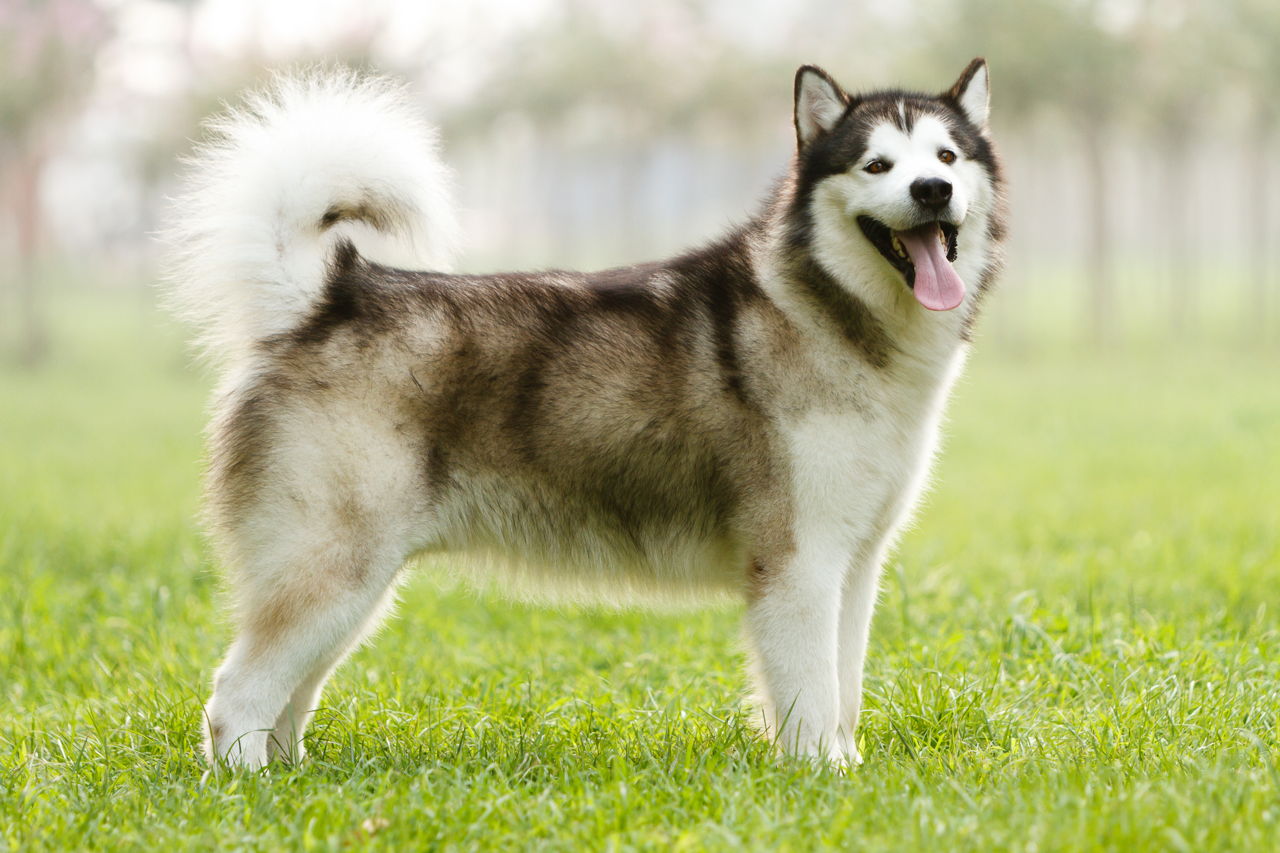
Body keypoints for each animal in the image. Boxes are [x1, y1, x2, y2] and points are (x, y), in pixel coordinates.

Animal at [162, 58, 998, 763]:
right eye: (877, 165)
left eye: (947, 158)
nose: (931, 192)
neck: (837, 316)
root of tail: (327, 295)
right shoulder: (798, 561)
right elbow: (812, 696)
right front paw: (824, 779)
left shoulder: (854, 562)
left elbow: (843, 689)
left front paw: (848, 768)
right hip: (335, 567)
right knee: (236, 698)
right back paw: (251, 792)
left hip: (349, 587)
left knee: (287, 699)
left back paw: (294, 780)